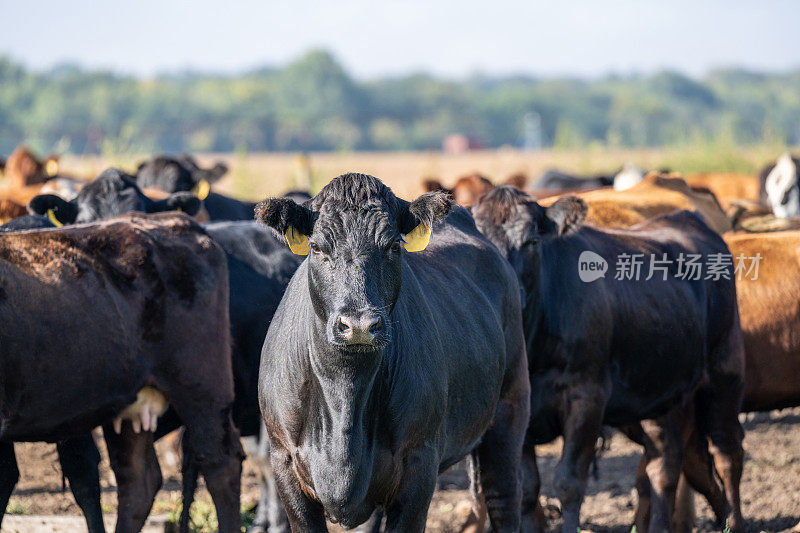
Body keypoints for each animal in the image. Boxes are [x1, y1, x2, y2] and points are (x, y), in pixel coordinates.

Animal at [255, 172, 532, 528]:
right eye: (316, 247)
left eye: (394, 245)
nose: (359, 324)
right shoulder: (285, 463)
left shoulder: (419, 465)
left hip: (510, 409)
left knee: (503, 496)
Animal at [472, 186, 748, 532]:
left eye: (532, 241)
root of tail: (688, 218)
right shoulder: (518, 407)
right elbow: (526, 490)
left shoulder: (587, 397)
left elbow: (568, 483)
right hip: (660, 390)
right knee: (666, 464)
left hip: (725, 371)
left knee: (727, 452)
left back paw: (735, 522)